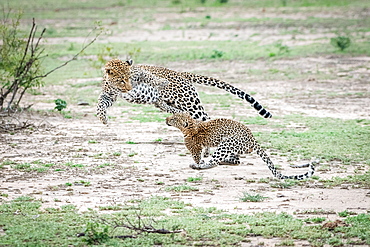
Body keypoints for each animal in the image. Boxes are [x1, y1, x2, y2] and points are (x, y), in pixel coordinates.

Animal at [97, 58, 274, 125]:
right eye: (121, 80)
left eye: (128, 78)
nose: (129, 88)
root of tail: (183, 74)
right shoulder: (109, 95)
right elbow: (100, 104)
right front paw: (103, 118)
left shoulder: (139, 72)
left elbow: (150, 76)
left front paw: (161, 82)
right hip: (177, 105)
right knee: (172, 109)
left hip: (191, 104)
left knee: (206, 118)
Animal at [165, 112, 318, 179]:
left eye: (173, 118)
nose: (166, 119)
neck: (190, 126)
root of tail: (252, 138)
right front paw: (202, 159)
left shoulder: (195, 148)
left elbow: (197, 156)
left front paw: (197, 162)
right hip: (232, 148)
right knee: (235, 160)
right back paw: (221, 162)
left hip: (226, 143)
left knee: (215, 162)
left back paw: (200, 166)